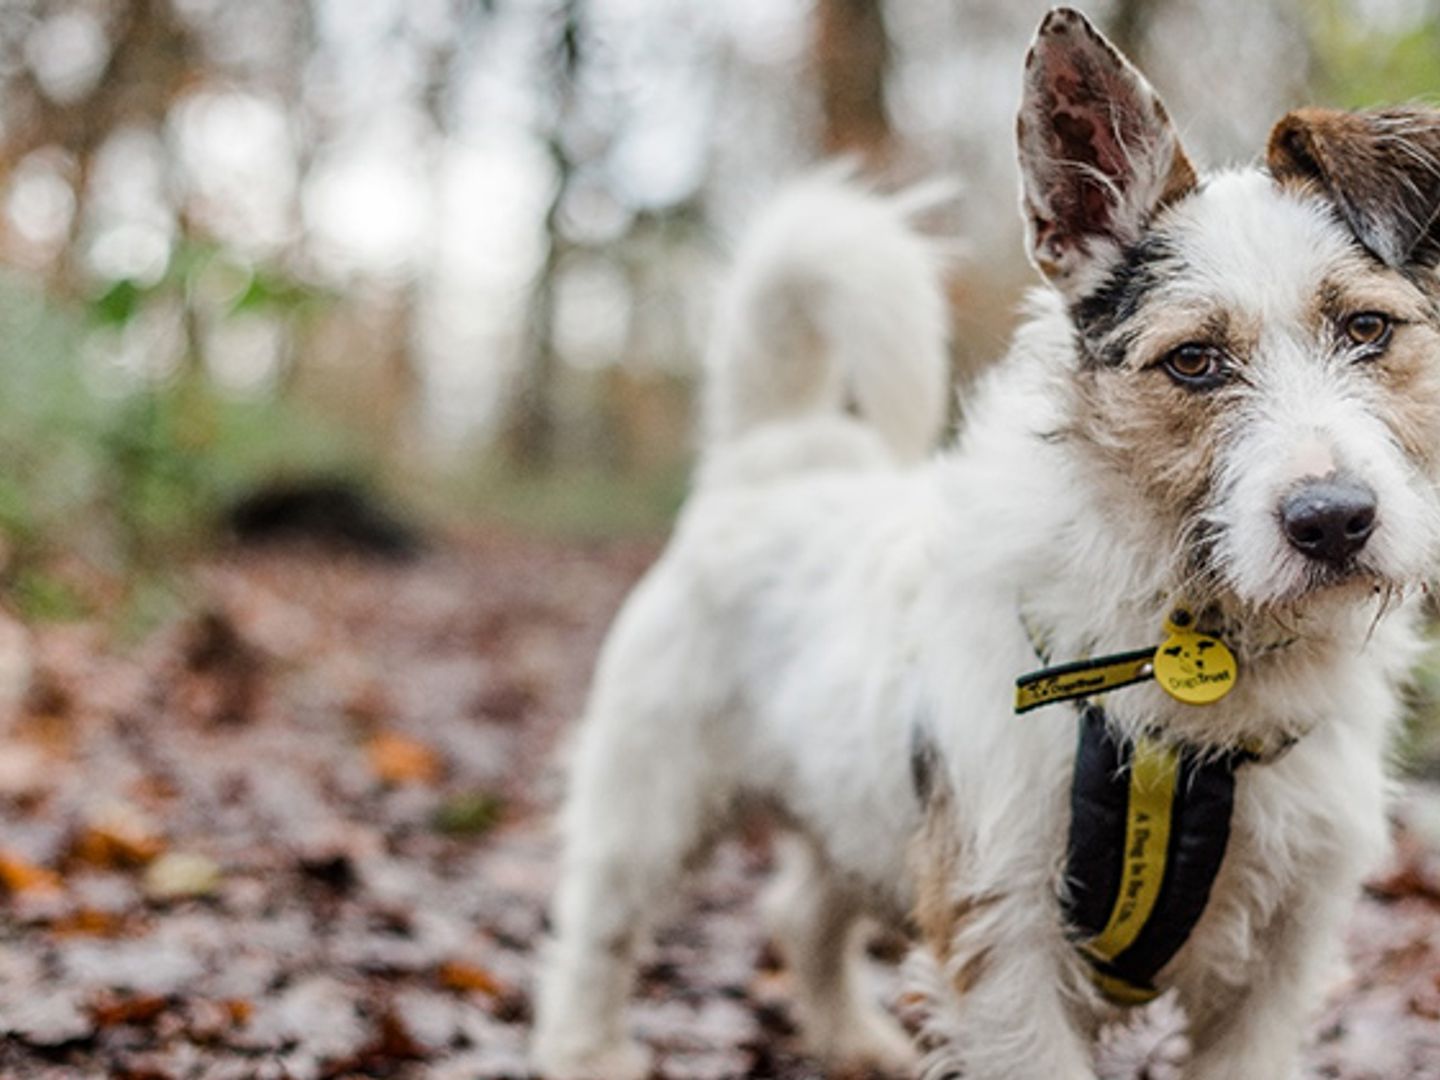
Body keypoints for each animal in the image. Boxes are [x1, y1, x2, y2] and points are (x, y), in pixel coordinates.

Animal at [529, 8, 1440, 1080]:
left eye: (1368, 327)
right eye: (1193, 361)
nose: (1333, 519)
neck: (1196, 646)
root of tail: (776, 458)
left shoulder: (1283, 951)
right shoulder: (1003, 927)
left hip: (856, 807)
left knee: (800, 910)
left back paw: (853, 1040)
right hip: (651, 802)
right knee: (598, 932)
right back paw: (586, 1050)